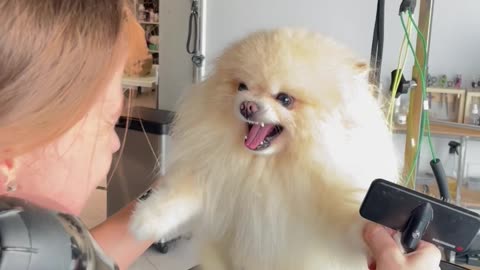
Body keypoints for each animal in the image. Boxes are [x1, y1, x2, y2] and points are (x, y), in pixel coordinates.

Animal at [129, 28, 400, 268]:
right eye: (242, 87)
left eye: (285, 99)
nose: (247, 106)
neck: (266, 166)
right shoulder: (216, 178)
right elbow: (181, 195)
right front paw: (145, 220)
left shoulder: (324, 210)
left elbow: (351, 224)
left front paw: (387, 229)